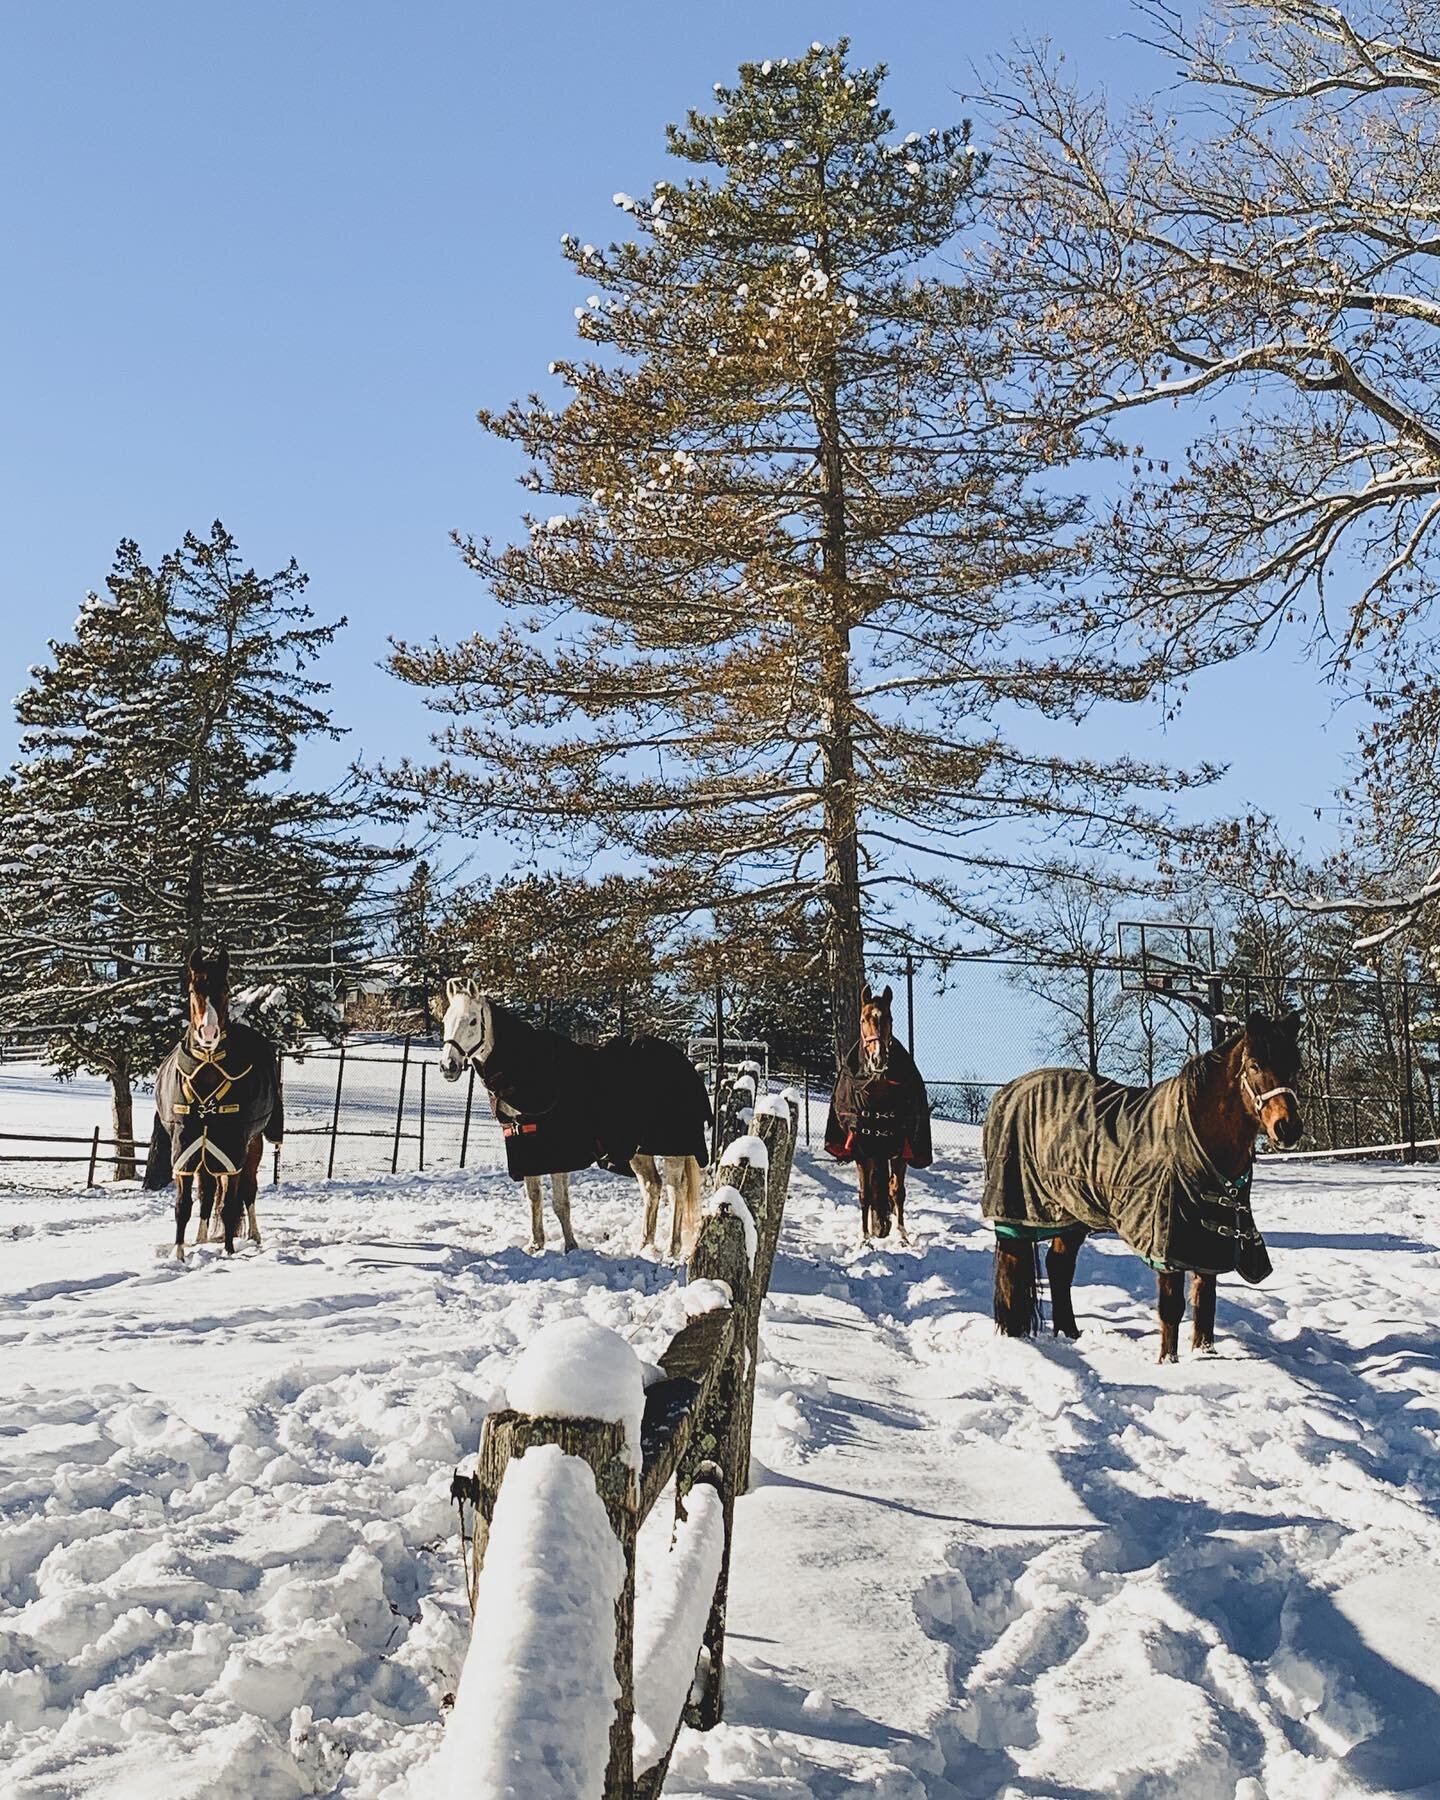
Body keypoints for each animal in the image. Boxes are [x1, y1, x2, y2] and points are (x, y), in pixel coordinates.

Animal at [143, 950, 284, 1260]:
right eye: (193, 990)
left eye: (225, 990)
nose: (208, 1033)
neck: (208, 1072)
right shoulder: (185, 1146)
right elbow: (184, 1205)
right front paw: (179, 1253)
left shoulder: (233, 1149)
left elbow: (231, 1204)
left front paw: (229, 1252)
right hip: (204, 1151)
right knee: (207, 1194)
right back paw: (201, 1238)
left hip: (251, 1147)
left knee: (248, 1191)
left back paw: (254, 1235)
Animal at [979, 1015, 1303, 1360]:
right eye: (1254, 1065)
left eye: (1295, 1065)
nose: (1288, 1128)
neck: (1197, 1136)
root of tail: (1004, 1094)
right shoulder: (1168, 1245)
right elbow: (1172, 1308)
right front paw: (1168, 1362)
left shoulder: (1206, 1248)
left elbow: (1205, 1307)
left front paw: (1205, 1356)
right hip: (1016, 1214)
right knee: (1013, 1271)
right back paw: (1015, 1338)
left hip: (1072, 1214)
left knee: (1059, 1267)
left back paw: (1069, 1333)